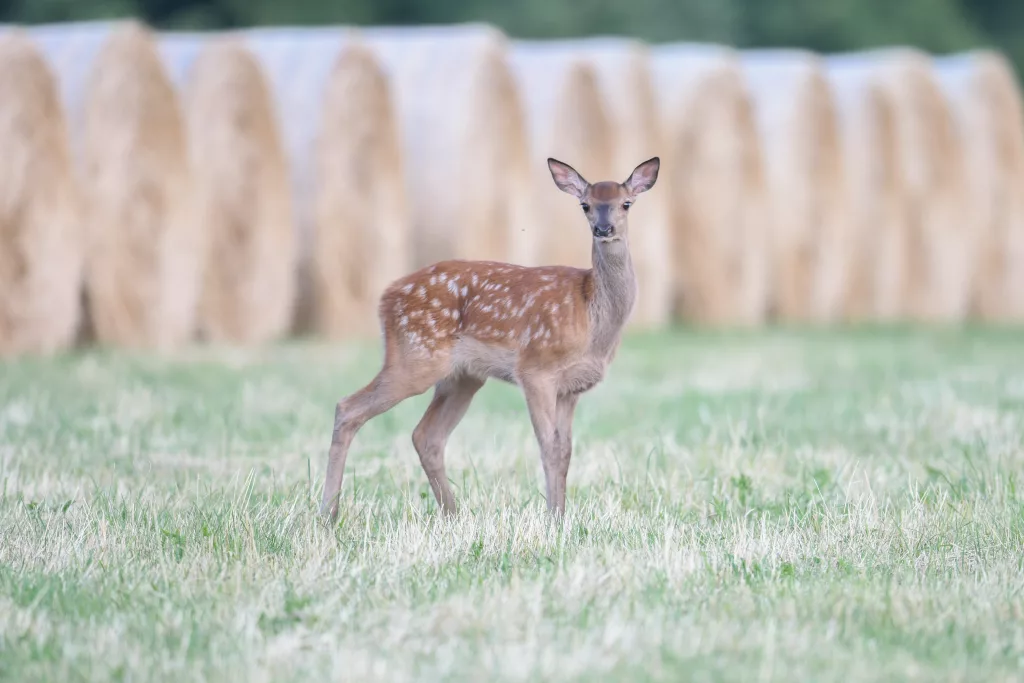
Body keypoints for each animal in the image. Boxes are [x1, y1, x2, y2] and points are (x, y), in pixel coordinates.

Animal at [319, 156, 660, 523]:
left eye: (626, 203)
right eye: (586, 205)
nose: (603, 229)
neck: (592, 315)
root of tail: (385, 297)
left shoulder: (571, 388)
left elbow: (566, 449)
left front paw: (561, 515)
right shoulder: (535, 369)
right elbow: (549, 446)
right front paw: (553, 519)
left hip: (463, 376)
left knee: (426, 435)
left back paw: (452, 514)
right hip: (415, 355)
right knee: (348, 408)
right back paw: (328, 514)